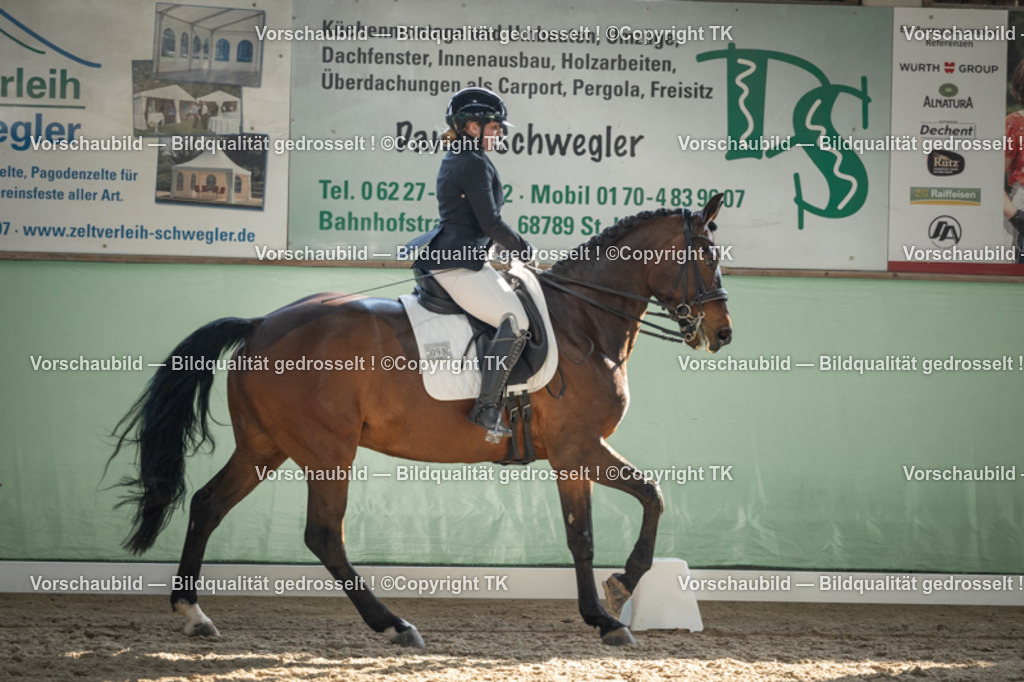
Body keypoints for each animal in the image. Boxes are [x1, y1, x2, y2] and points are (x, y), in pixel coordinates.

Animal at [110, 194, 732, 647]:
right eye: (706, 254)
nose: (723, 334)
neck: (583, 322)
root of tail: (262, 324)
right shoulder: (578, 448)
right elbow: (622, 514)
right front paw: (615, 599)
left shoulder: (575, 454)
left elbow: (615, 515)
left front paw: (609, 604)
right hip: (326, 451)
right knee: (323, 535)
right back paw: (394, 625)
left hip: (266, 446)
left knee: (208, 504)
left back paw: (194, 615)